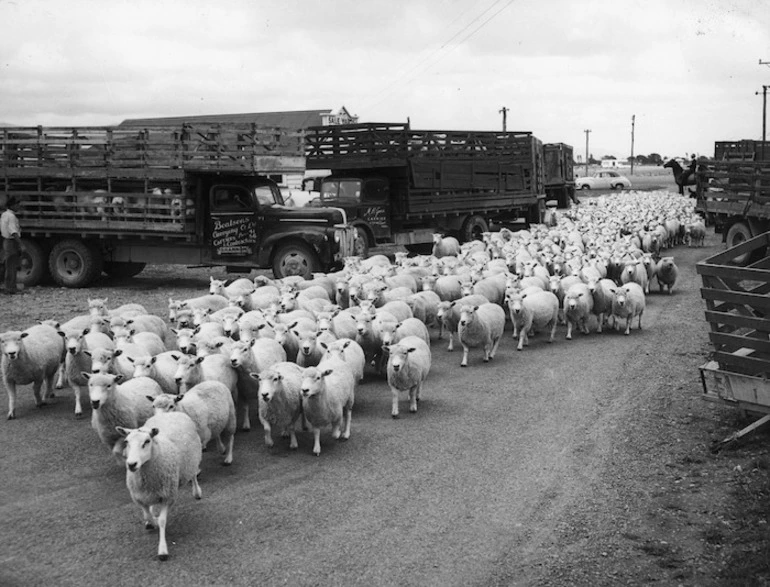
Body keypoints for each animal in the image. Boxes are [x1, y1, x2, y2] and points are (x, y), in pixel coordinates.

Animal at [115, 412, 201, 564]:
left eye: (147, 441)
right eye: (126, 442)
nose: (131, 464)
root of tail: (170, 413)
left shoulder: (168, 497)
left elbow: (161, 521)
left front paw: (162, 550)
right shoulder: (139, 498)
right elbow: (147, 515)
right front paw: (151, 521)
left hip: (192, 460)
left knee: (193, 475)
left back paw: (197, 492)